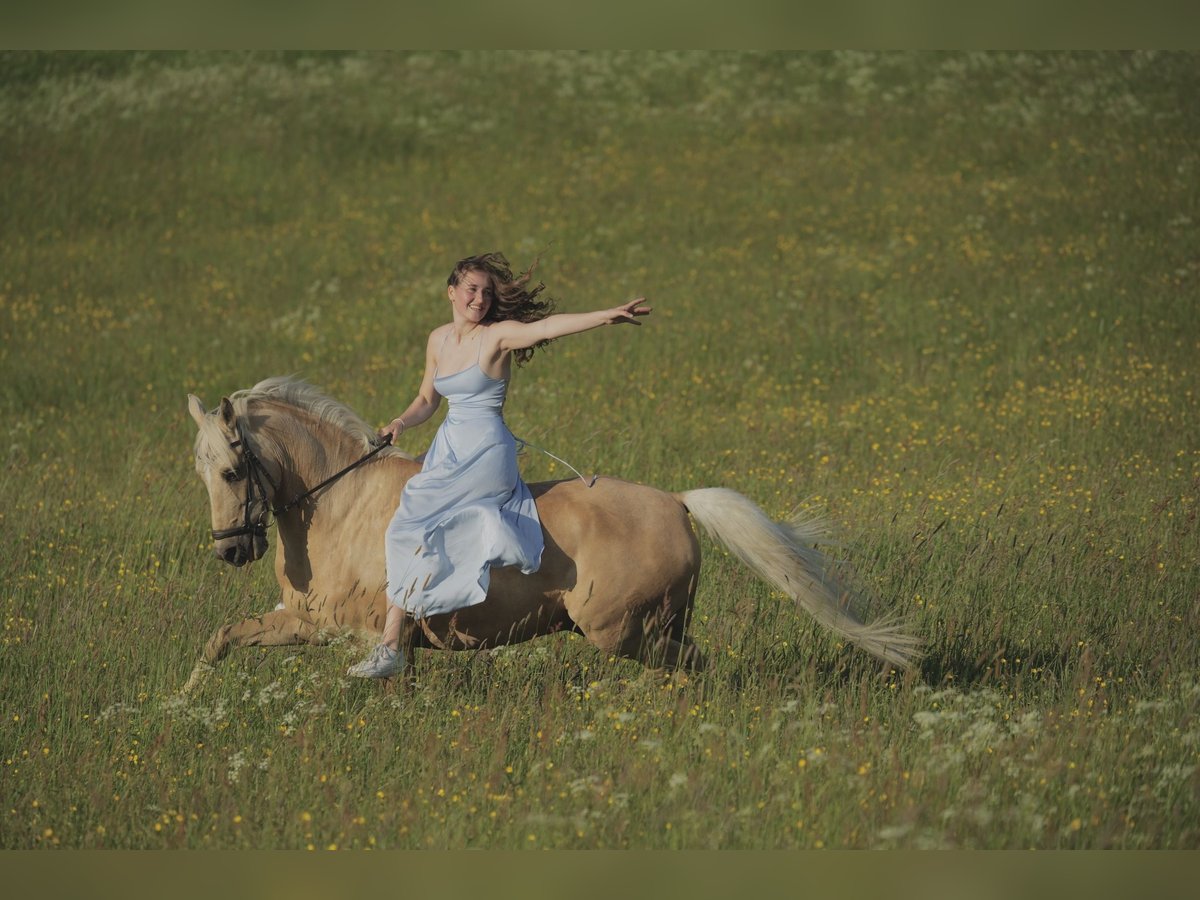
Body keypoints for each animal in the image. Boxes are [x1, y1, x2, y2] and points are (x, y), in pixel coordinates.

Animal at [182, 376, 919, 693]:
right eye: (201, 472)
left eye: (231, 469)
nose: (230, 549)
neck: (340, 503)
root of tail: (678, 503)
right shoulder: (303, 620)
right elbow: (222, 639)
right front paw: (184, 700)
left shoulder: (362, 632)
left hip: (620, 630)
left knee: (691, 663)